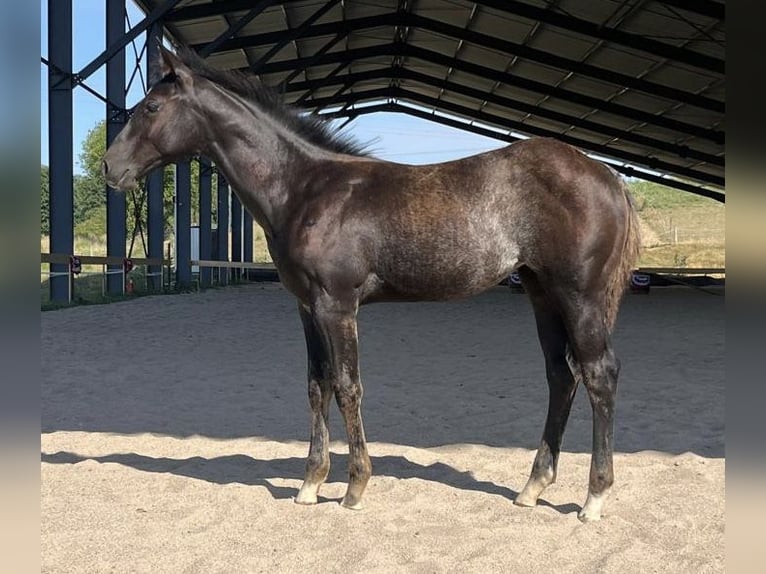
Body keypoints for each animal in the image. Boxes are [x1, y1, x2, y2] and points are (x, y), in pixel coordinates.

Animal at [103, 45, 640, 522]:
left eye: (151, 107)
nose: (110, 168)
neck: (306, 189)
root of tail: (607, 176)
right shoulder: (306, 307)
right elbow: (316, 383)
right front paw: (310, 484)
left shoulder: (337, 305)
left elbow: (347, 386)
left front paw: (355, 487)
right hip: (541, 293)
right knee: (561, 376)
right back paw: (532, 487)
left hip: (580, 296)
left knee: (599, 375)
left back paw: (593, 499)